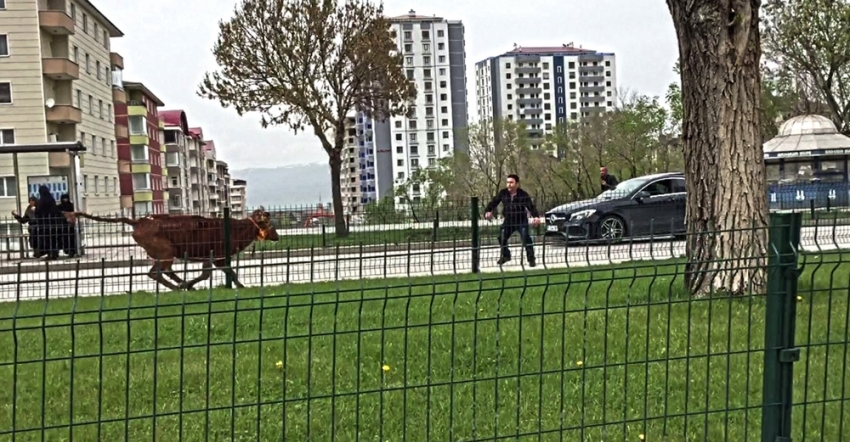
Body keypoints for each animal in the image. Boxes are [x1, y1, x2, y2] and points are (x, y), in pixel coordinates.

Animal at [67, 209, 278, 292]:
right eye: (268, 221)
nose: (277, 236)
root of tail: (139, 221)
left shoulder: (209, 257)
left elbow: (210, 273)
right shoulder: (218, 256)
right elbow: (225, 272)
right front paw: (241, 285)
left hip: (164, 255)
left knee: (165, 271)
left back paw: (183, 284)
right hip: (166, 252)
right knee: (156, 272)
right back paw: (179, 286)